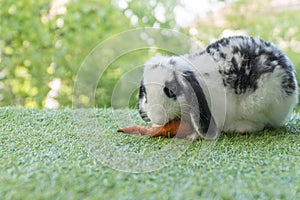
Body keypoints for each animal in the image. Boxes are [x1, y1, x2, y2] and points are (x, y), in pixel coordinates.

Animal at [138, 36, 298, 139]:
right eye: (145, 93)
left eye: (171, 91)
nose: (157, 118)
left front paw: (193, 136)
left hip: (261, 104)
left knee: (261, 123)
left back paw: (238, 128)